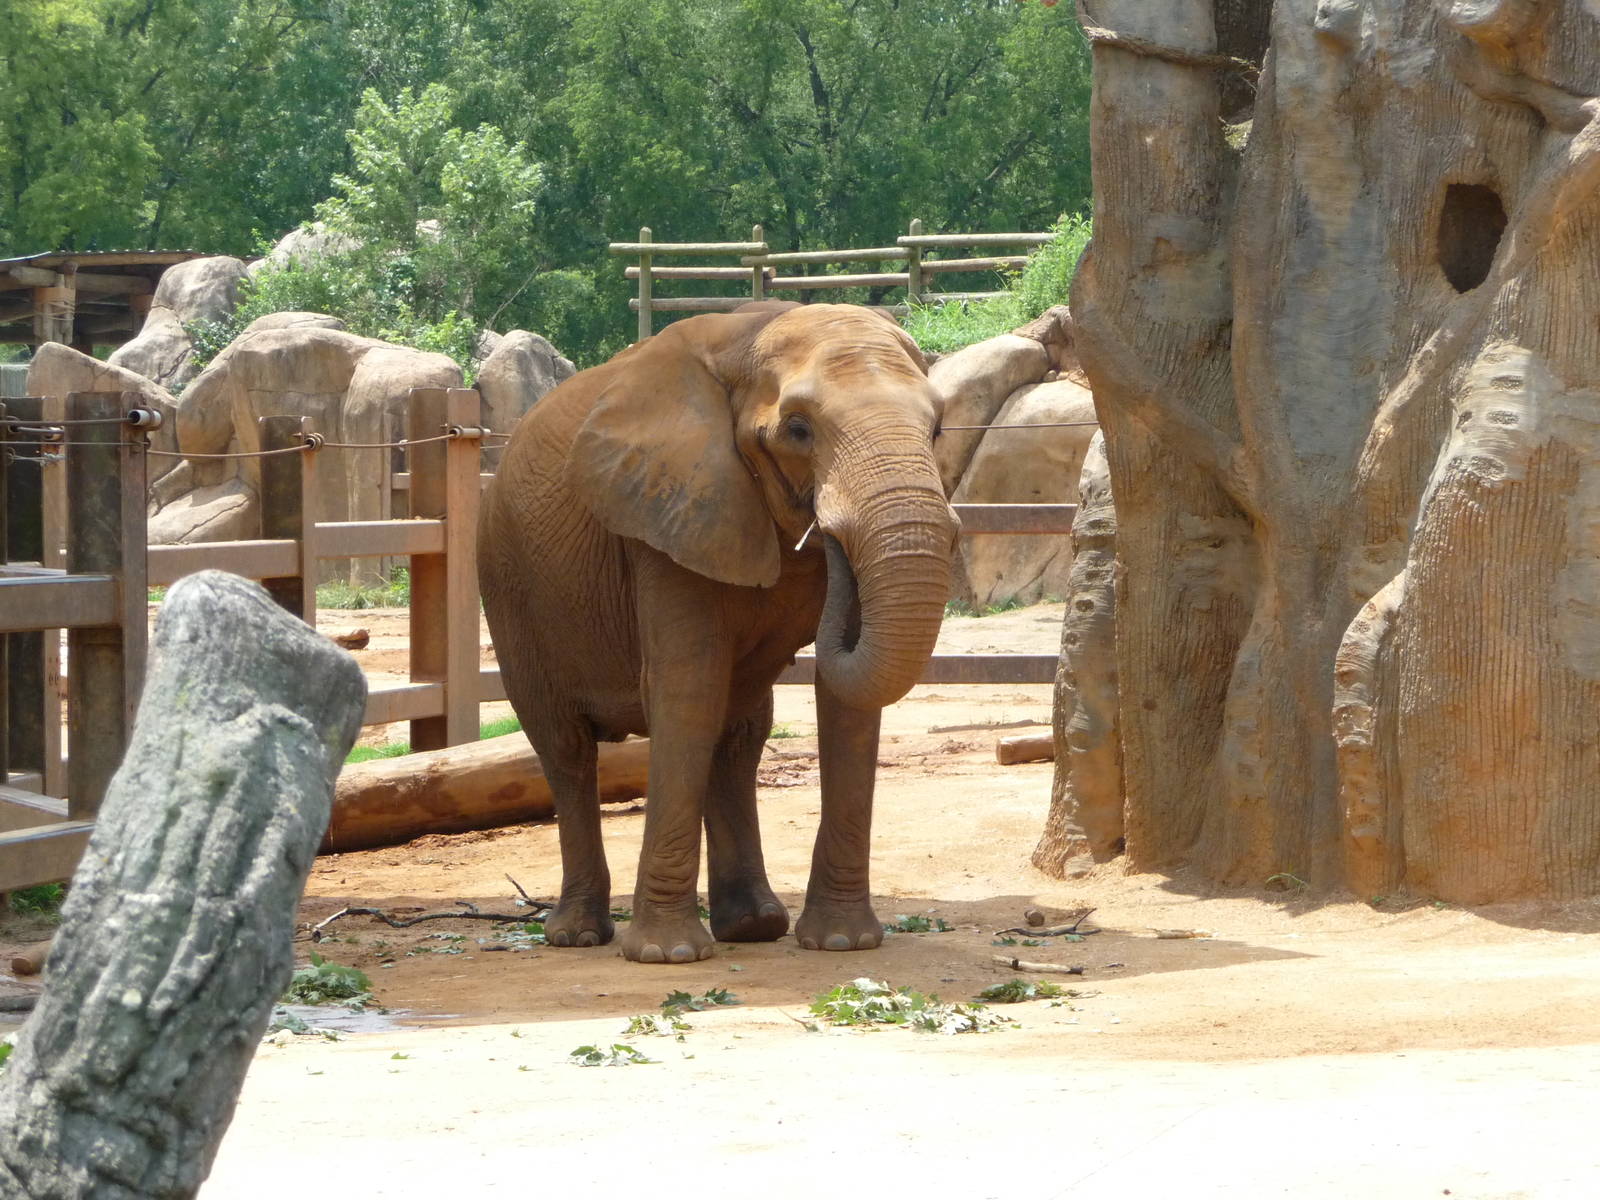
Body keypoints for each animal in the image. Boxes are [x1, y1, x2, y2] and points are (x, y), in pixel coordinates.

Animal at [478, 301, 958, 964]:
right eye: (798, 430)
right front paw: (667, 956)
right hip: (511, 587)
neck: (748, 341)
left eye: (936, 430)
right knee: (565, 747)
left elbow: (846, 705)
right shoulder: (667, 508)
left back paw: (753, 926)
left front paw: (842, 943)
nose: (831, 534)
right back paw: (577, 935)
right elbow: (687, 686)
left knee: (736, 738)